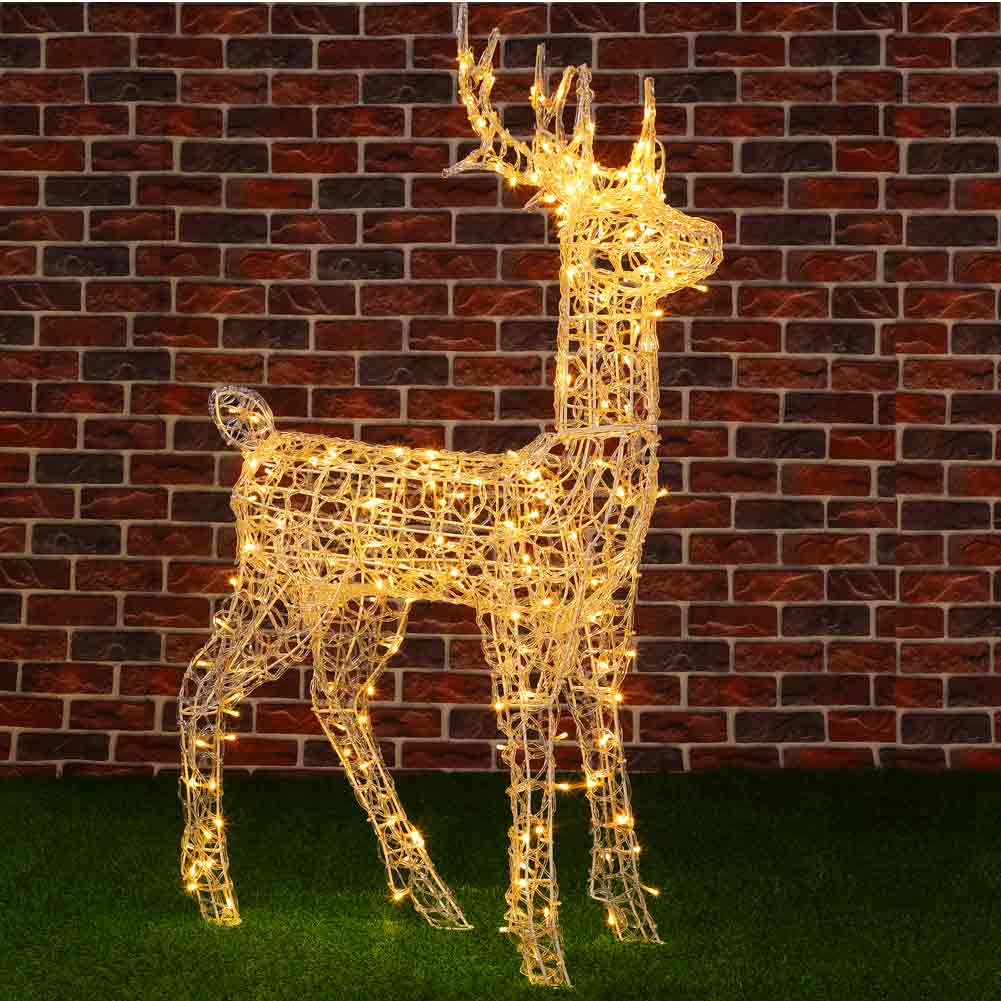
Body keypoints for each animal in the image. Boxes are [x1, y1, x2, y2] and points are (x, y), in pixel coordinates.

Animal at [177, 5, 722, 987]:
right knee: (202, 684)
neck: (574, 486)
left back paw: (431, 899)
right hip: (278, 580)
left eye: (662, 199)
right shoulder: (516, 613)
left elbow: (604, 750)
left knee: (331, 695)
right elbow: (531, 756)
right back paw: (216, 901)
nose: (707, 236)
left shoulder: (602, 619)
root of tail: (257, 438)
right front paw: (542, 951)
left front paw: (632, 923)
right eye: (620, 219)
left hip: (367, 599)